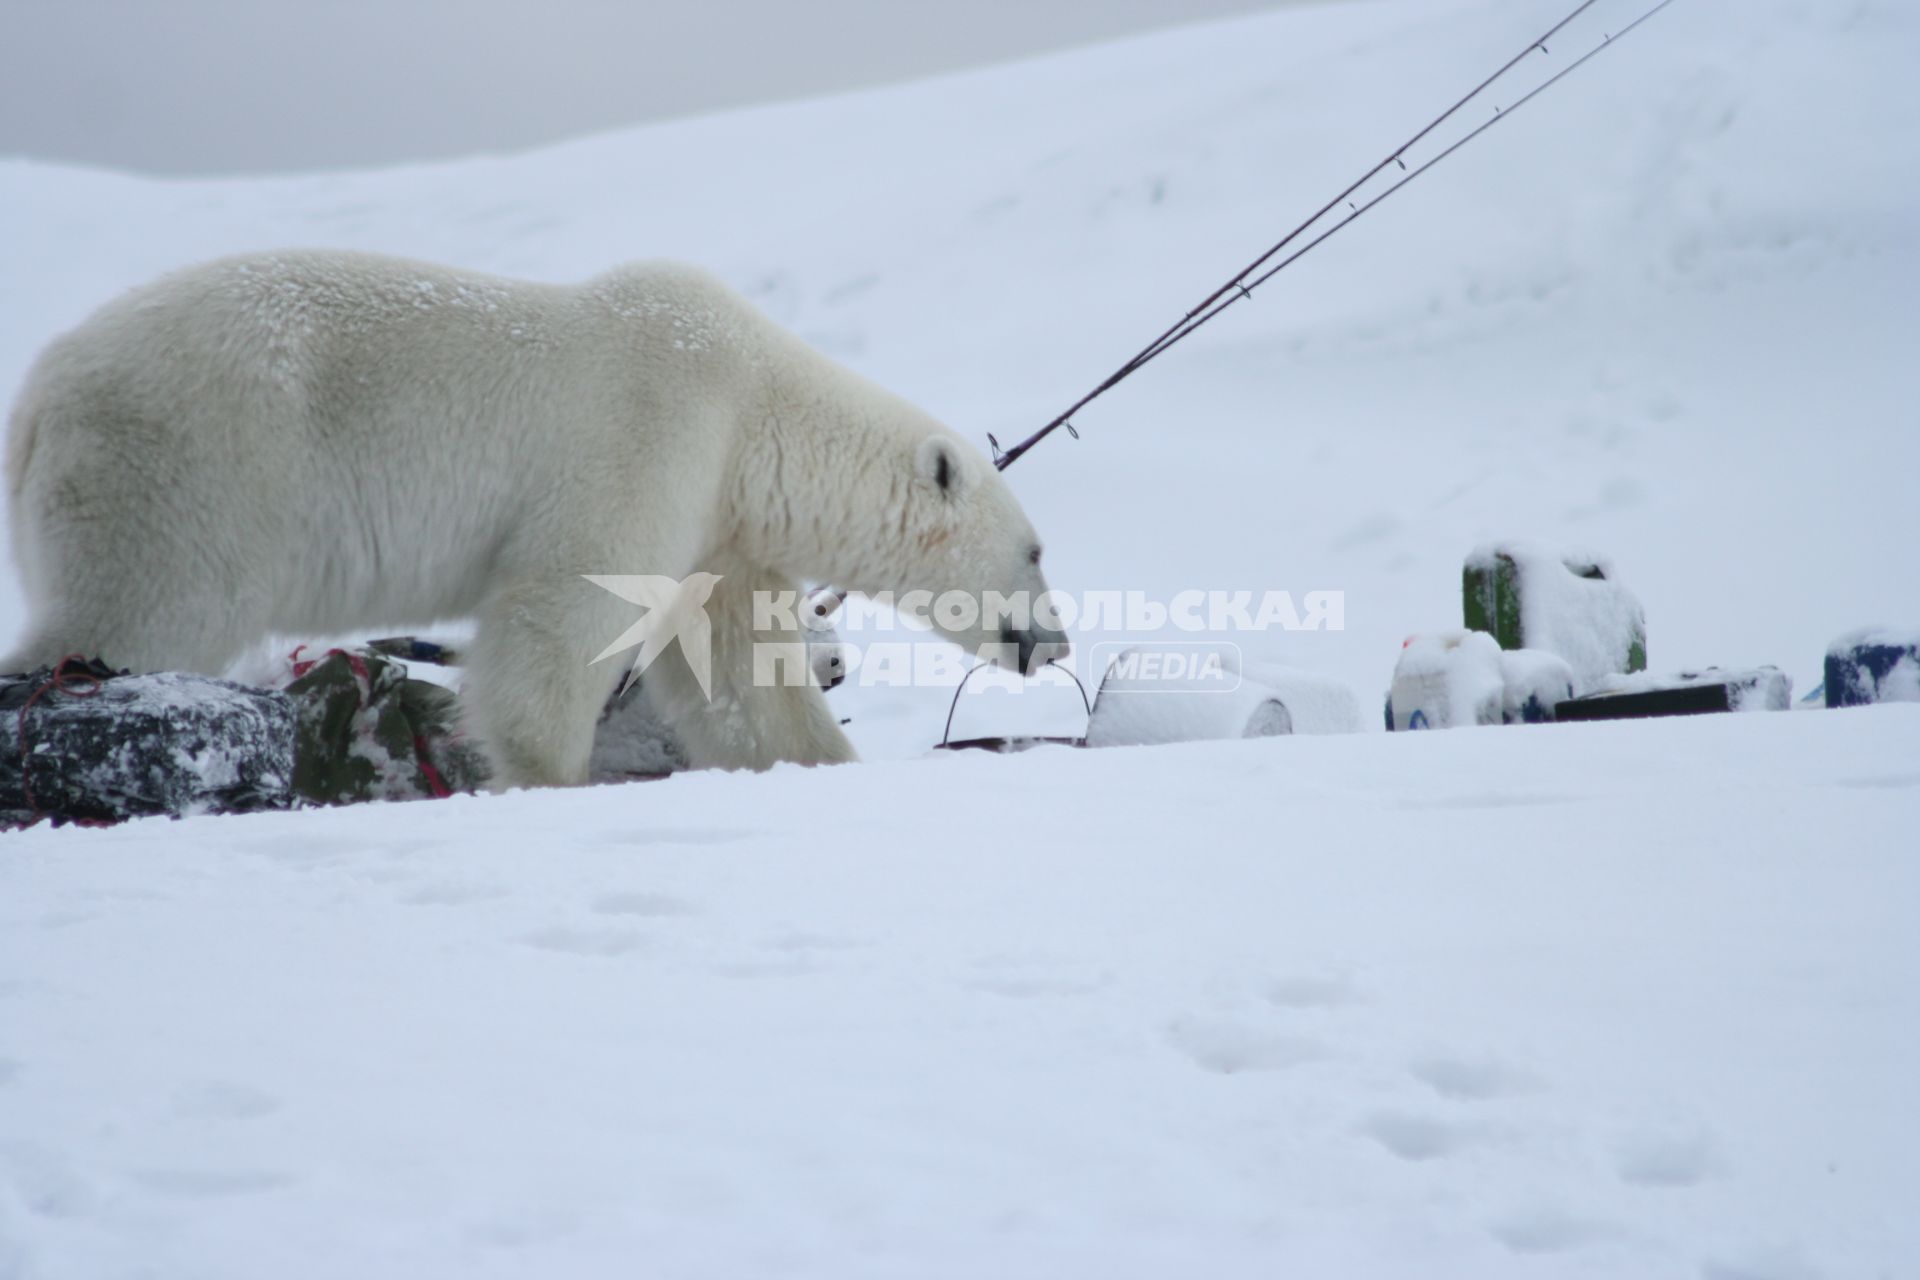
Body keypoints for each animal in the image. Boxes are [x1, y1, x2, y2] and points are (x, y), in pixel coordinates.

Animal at [3, 251, 1067, 786]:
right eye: (1035, 550)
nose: (1054, 643)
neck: (754, 404)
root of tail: (39, 396)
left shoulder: (720, 523)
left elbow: (736, 670)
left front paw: (821, 762)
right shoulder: (653, 430)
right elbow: (566, 605)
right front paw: (550, 781)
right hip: (192, 469)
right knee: (140, 610)